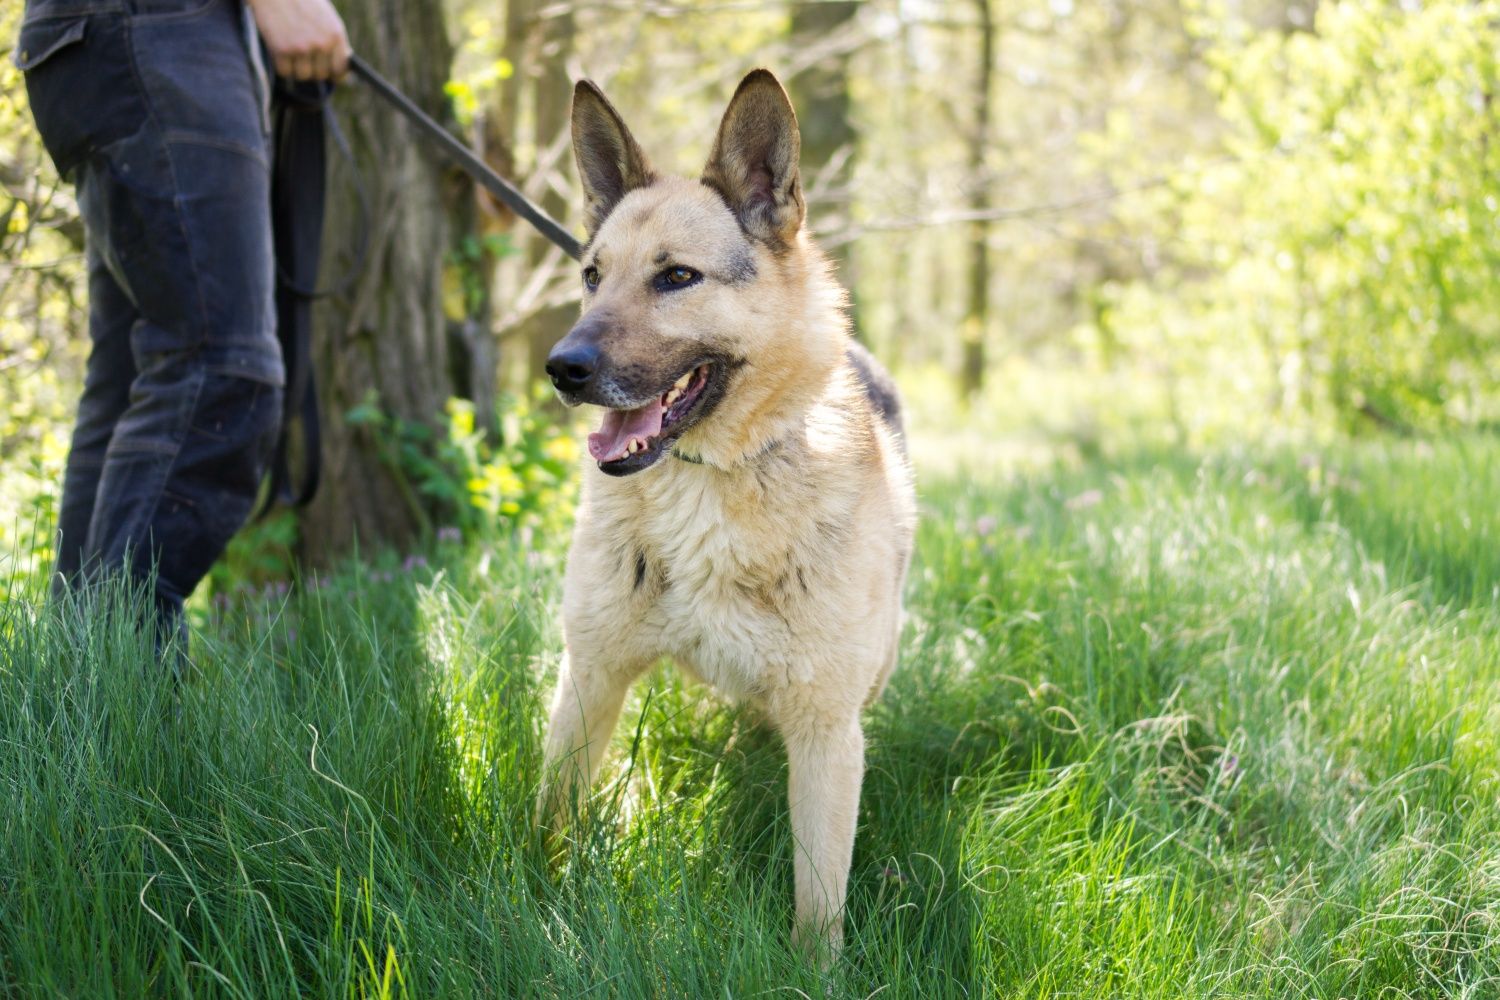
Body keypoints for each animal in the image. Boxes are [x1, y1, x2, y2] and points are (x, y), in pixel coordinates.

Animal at [540, 66, 912, 959]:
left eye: (678, 277)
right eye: (593, 276)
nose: (561, 368)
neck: (707, 481)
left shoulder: (826, 730)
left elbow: (819, 900)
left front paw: (815, 972)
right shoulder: (591, 677)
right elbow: (549, 819)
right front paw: (530, 904)